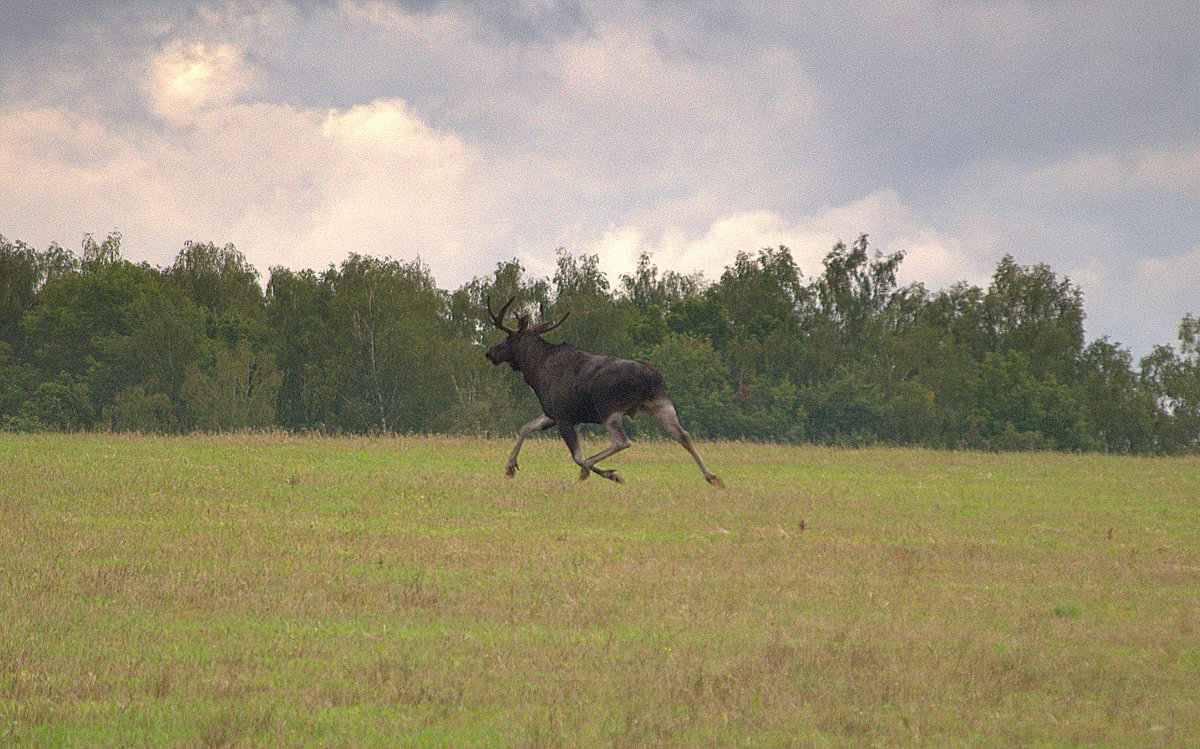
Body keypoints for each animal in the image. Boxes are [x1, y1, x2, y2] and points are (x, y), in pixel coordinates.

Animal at [482, 295, 724, 489]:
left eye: (508, 338)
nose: (490, 352)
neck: (535, 372)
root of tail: (648, 378)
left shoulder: (563, 416)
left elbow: (577, 456)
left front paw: (609, 474)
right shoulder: (553, 413)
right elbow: (525, 427)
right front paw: (509, 466)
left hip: (609, 409)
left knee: (622, 441)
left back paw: (590, 468)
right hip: (661, 403)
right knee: (683, 435)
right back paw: (712, 477)